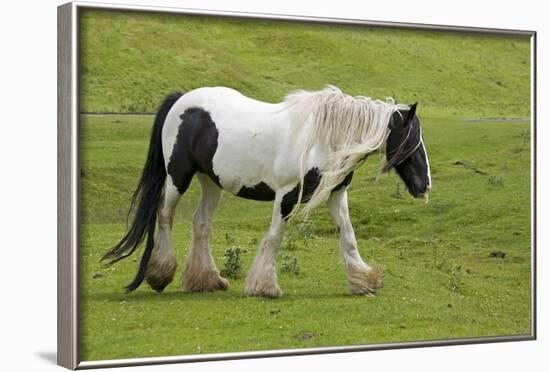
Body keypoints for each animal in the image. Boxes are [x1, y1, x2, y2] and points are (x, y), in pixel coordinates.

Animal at [101, 85, 434, 298]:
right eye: (411, 138)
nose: (425, 185)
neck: (323, 138)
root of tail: (182, 100)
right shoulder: (285, 195)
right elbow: (275, 237)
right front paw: (264, 287)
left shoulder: (336, 194)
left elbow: (348, 237)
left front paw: (364, 281)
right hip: (178, 177)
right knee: (165, 215)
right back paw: (161, 274)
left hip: (211, 182)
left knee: (201, 224)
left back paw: (206, 280)